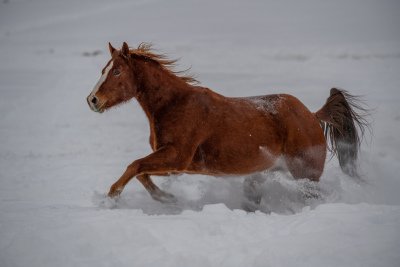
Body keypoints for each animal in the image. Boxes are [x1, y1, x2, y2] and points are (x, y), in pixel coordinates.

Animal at [86, 42, 368, 204]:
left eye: (117, 71)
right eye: (103, 69)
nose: (92, 100)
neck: (176, 104)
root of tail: (311, 114)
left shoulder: (178, 158)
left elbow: (135, 166)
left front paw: (111, 197)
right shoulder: (174, 163)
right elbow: (141, 172)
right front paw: (167, 198)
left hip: (305, 175)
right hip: (261, 175)